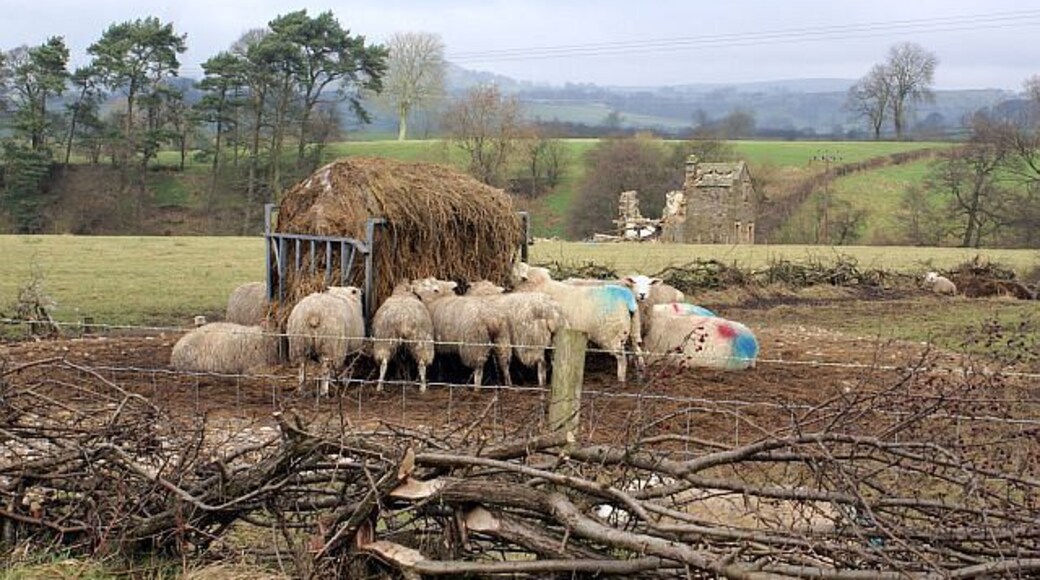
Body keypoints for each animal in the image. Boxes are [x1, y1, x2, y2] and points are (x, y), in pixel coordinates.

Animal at [512, 262, 643, 383]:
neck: (540, 286)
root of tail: (627, 299)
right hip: (634, 331)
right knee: (638, 351)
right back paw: (640, 373)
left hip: (612, 335)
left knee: (622, 358)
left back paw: (621, 379)